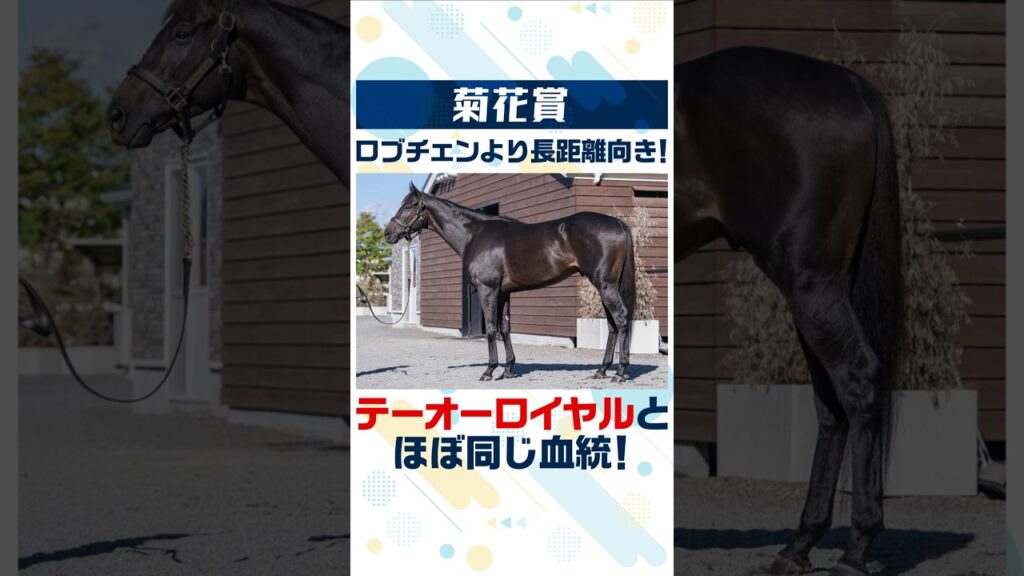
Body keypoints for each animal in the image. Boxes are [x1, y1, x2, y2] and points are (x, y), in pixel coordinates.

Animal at [384, 182, 637, 383]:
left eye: (408, 206)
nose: (388, 233)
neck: (475, 234)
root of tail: (618, 224)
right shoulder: (504, 293)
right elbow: (505, 328)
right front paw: (508, 369)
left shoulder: (488, 290)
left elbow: (491, 329)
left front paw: (489, 371)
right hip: (606, 285)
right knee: (612, 325)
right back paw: (602, 370)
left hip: (605, 284)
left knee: (621, 318)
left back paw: (620, 372)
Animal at [676, 47, 904, 576]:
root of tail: (853, 87)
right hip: (818, 293)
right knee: (831, 401)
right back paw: (799, 544)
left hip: (809, 284)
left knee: (857, 380)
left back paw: (855, 550)